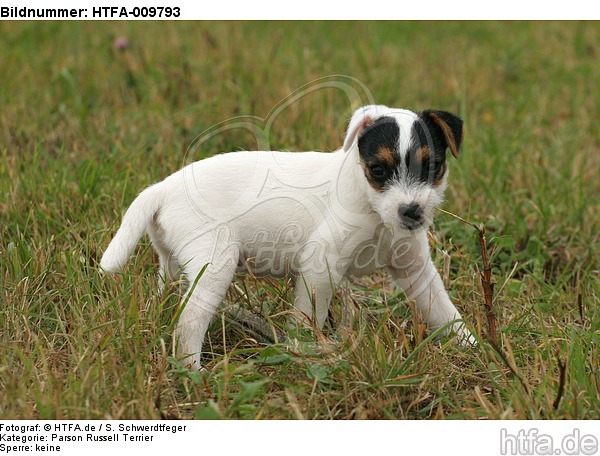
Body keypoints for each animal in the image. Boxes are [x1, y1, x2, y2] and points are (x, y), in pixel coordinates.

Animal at [101, 105, 476, 368]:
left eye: (433, 167)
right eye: (378, 170)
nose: (412, 212)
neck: (372, 209)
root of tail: (162, 188)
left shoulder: (415, 270)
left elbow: (445, 312)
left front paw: (475, 348)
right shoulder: (320, 266)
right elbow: (309, 317)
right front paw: (304, 352)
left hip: (173, 265)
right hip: (214, 267)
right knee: (189, 325)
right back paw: (194, 374)